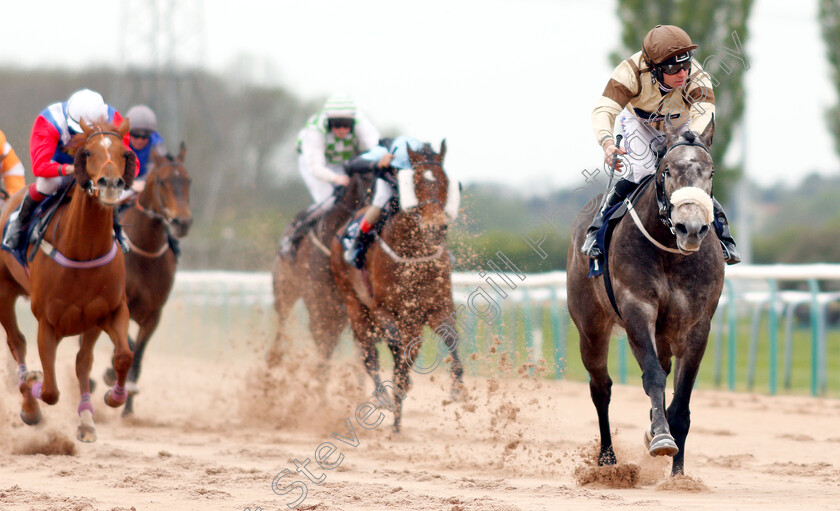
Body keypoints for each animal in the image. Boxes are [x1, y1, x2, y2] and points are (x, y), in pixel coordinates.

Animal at [0, 118, 136, 442]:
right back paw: (29, 398)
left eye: (124, 152)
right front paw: (33, 385)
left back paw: (86, 419)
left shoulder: (109, 312)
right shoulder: (48, 322)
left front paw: (113, 398)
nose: (110, 184)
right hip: (3, 292)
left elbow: (121, 356)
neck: (83, 251)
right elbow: (49, 391)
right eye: (87, 152)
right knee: (16, 342)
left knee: (83, 361)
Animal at [102, 143, 191, 416]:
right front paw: (111, 374)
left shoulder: (154, 313)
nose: (182, 222)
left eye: (188, 181)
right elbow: (127, 345)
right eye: (162, 181)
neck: (144, 253)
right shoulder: (119, 306)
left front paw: (128, 407)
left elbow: (138, 352)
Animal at [330, 142, 466, 434]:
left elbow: (450, 338)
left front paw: (458, 388)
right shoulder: (383, 309)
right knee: (368, 351)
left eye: (445, 181)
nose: (436, 226)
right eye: (415, 182)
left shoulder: (438, 306)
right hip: (354, 303)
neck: (414, 253)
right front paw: (396, 403)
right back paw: (383, 395)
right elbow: (394, 345)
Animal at [568, 120, 724, 476]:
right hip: (591, 327)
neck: (670, 254)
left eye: (710, 172)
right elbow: (652, 376)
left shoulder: (697, 325)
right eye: (667, 171)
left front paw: (678, 475)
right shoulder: (636, 308)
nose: (690, 228)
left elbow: (681, 400)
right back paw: (607, 461)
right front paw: (662, 438)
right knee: (601, 388)